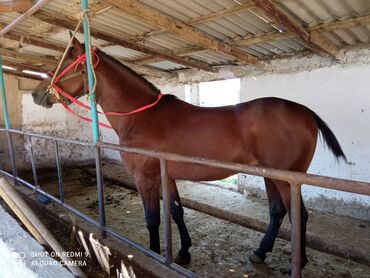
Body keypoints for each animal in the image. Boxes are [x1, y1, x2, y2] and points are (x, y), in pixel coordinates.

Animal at [31, 38, 346, 268]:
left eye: (65, 62)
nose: (37, 94)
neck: (142, 116)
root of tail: (305, 113)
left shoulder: (145, 178)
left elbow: (153, 218)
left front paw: (154, 253)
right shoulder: (167, 175)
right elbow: (176, 212)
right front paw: (183, 251)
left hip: (287, 179)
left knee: (298, 216)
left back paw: (299, 262)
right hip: (271, 177)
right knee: (278, 212)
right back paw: (260, 252)